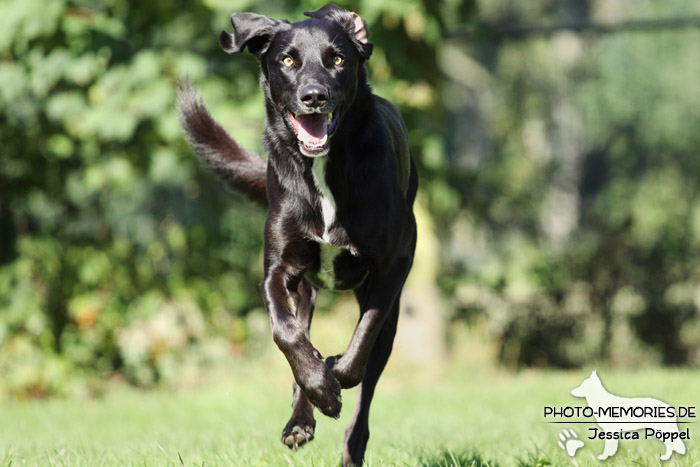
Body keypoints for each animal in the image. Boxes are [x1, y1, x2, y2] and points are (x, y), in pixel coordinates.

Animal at [179, 5, 416, 466]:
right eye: (287, 60)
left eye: (337, 59)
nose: (313, 96)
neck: (323, 168)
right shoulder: (278, 271)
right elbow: (285, 334)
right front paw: (321, 388)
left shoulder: (394, 265)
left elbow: (362, 339)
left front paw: (336, 373)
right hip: (305, 290)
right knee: (299, 341)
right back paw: (301, 418)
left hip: (391, 319)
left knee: (368, 382)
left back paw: (349, 442)